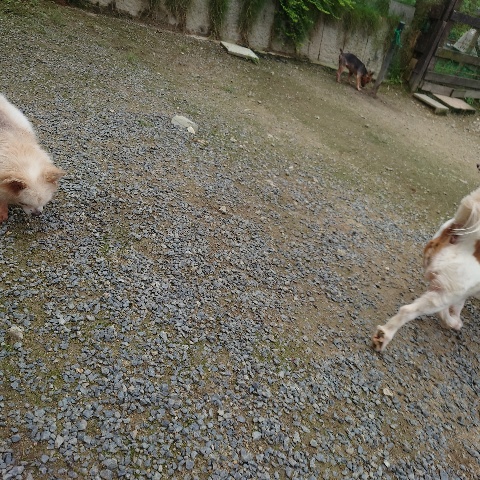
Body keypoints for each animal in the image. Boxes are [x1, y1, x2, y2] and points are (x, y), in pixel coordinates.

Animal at [372, 186, 480, 352]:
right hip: (452, 290)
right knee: (408, 310)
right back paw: (385, 336)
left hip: (452, 287)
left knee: (444, 308)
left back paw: (453, 322)